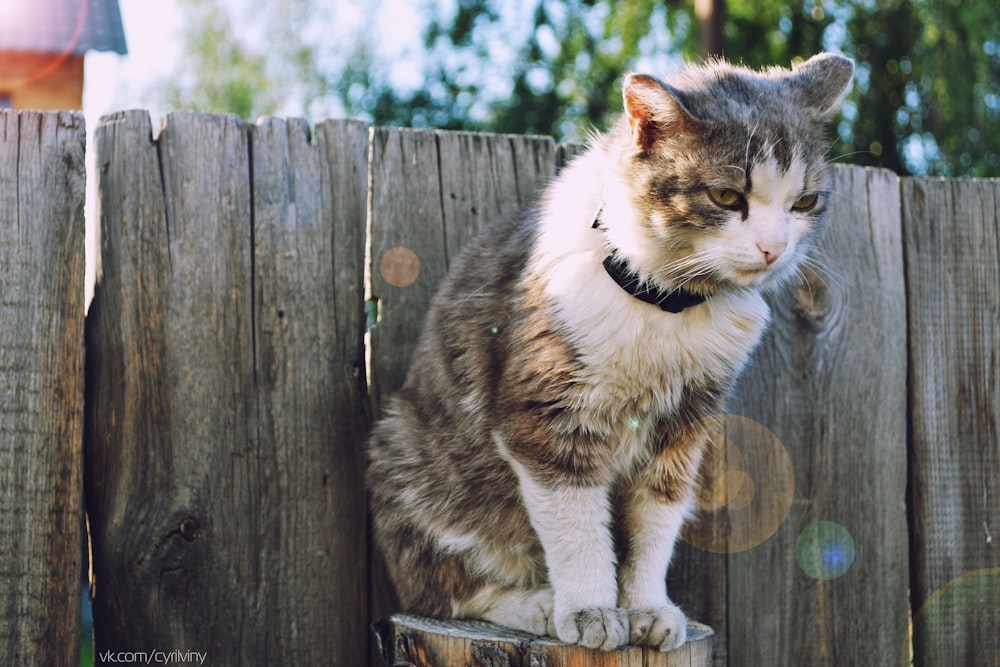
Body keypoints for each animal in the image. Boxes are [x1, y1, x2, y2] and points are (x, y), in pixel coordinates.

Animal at [368, 53, 852, 652]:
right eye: (725, 197)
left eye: (804, 201)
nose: (774, 249)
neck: (666, 303)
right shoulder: (547, 418)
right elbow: (576, 524)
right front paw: (592, 609)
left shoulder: (684, 427)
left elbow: (656, 521)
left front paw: (646, 608)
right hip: (404, 457)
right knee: (444, 590)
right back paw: (537, 605)